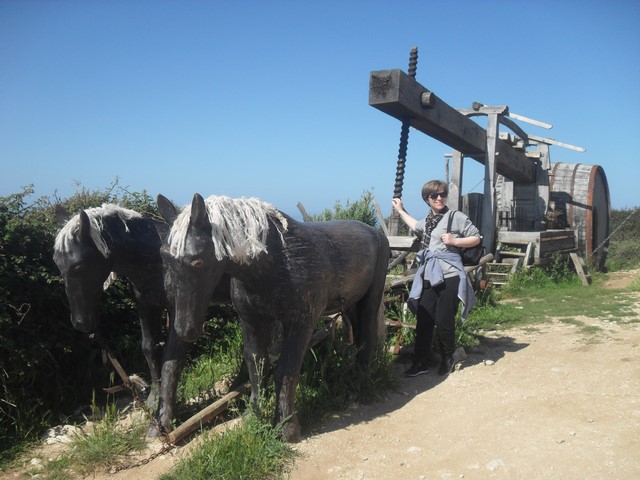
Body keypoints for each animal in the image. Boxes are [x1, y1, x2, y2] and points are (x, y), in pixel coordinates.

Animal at [53, 203, 230, 435]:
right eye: (58, 264)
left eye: (78, 266)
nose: (81, 323)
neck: (153, 260)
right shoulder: (146, 305)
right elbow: (149, 348)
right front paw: (154, 403)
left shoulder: (178, 312)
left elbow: (171, 361)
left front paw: (162, 421)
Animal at [157, 193, 390, 442]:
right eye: (164, 256)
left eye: (198, 261)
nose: (185, 330)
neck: (277, 262)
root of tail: (376, 233)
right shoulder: (253, 321)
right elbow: (257, 367)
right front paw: (254, 418)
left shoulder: (300, 324)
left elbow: (286, 371)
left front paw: (286, 427)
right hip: (352, 304)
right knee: (359, 339)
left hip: (371, 299)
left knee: (368, 336)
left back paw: (361, 385)